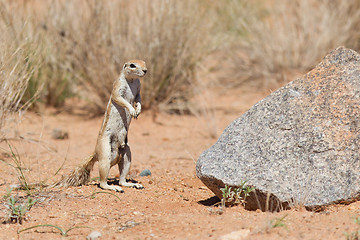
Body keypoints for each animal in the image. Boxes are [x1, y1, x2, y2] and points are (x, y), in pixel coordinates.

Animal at [54, 60, 147, 193]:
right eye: (132, 65)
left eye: (144, 62)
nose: (145, 70)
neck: (132, 80)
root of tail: (95, 153)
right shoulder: (117, 88)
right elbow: (120, 99)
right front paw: (132, 110)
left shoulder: (139, 89)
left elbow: (139, 98)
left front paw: (138, 109)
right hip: (105, 153)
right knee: (102, 183)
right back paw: (113, 187)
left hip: (127, 153)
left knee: (122, 179)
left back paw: (132, 184)